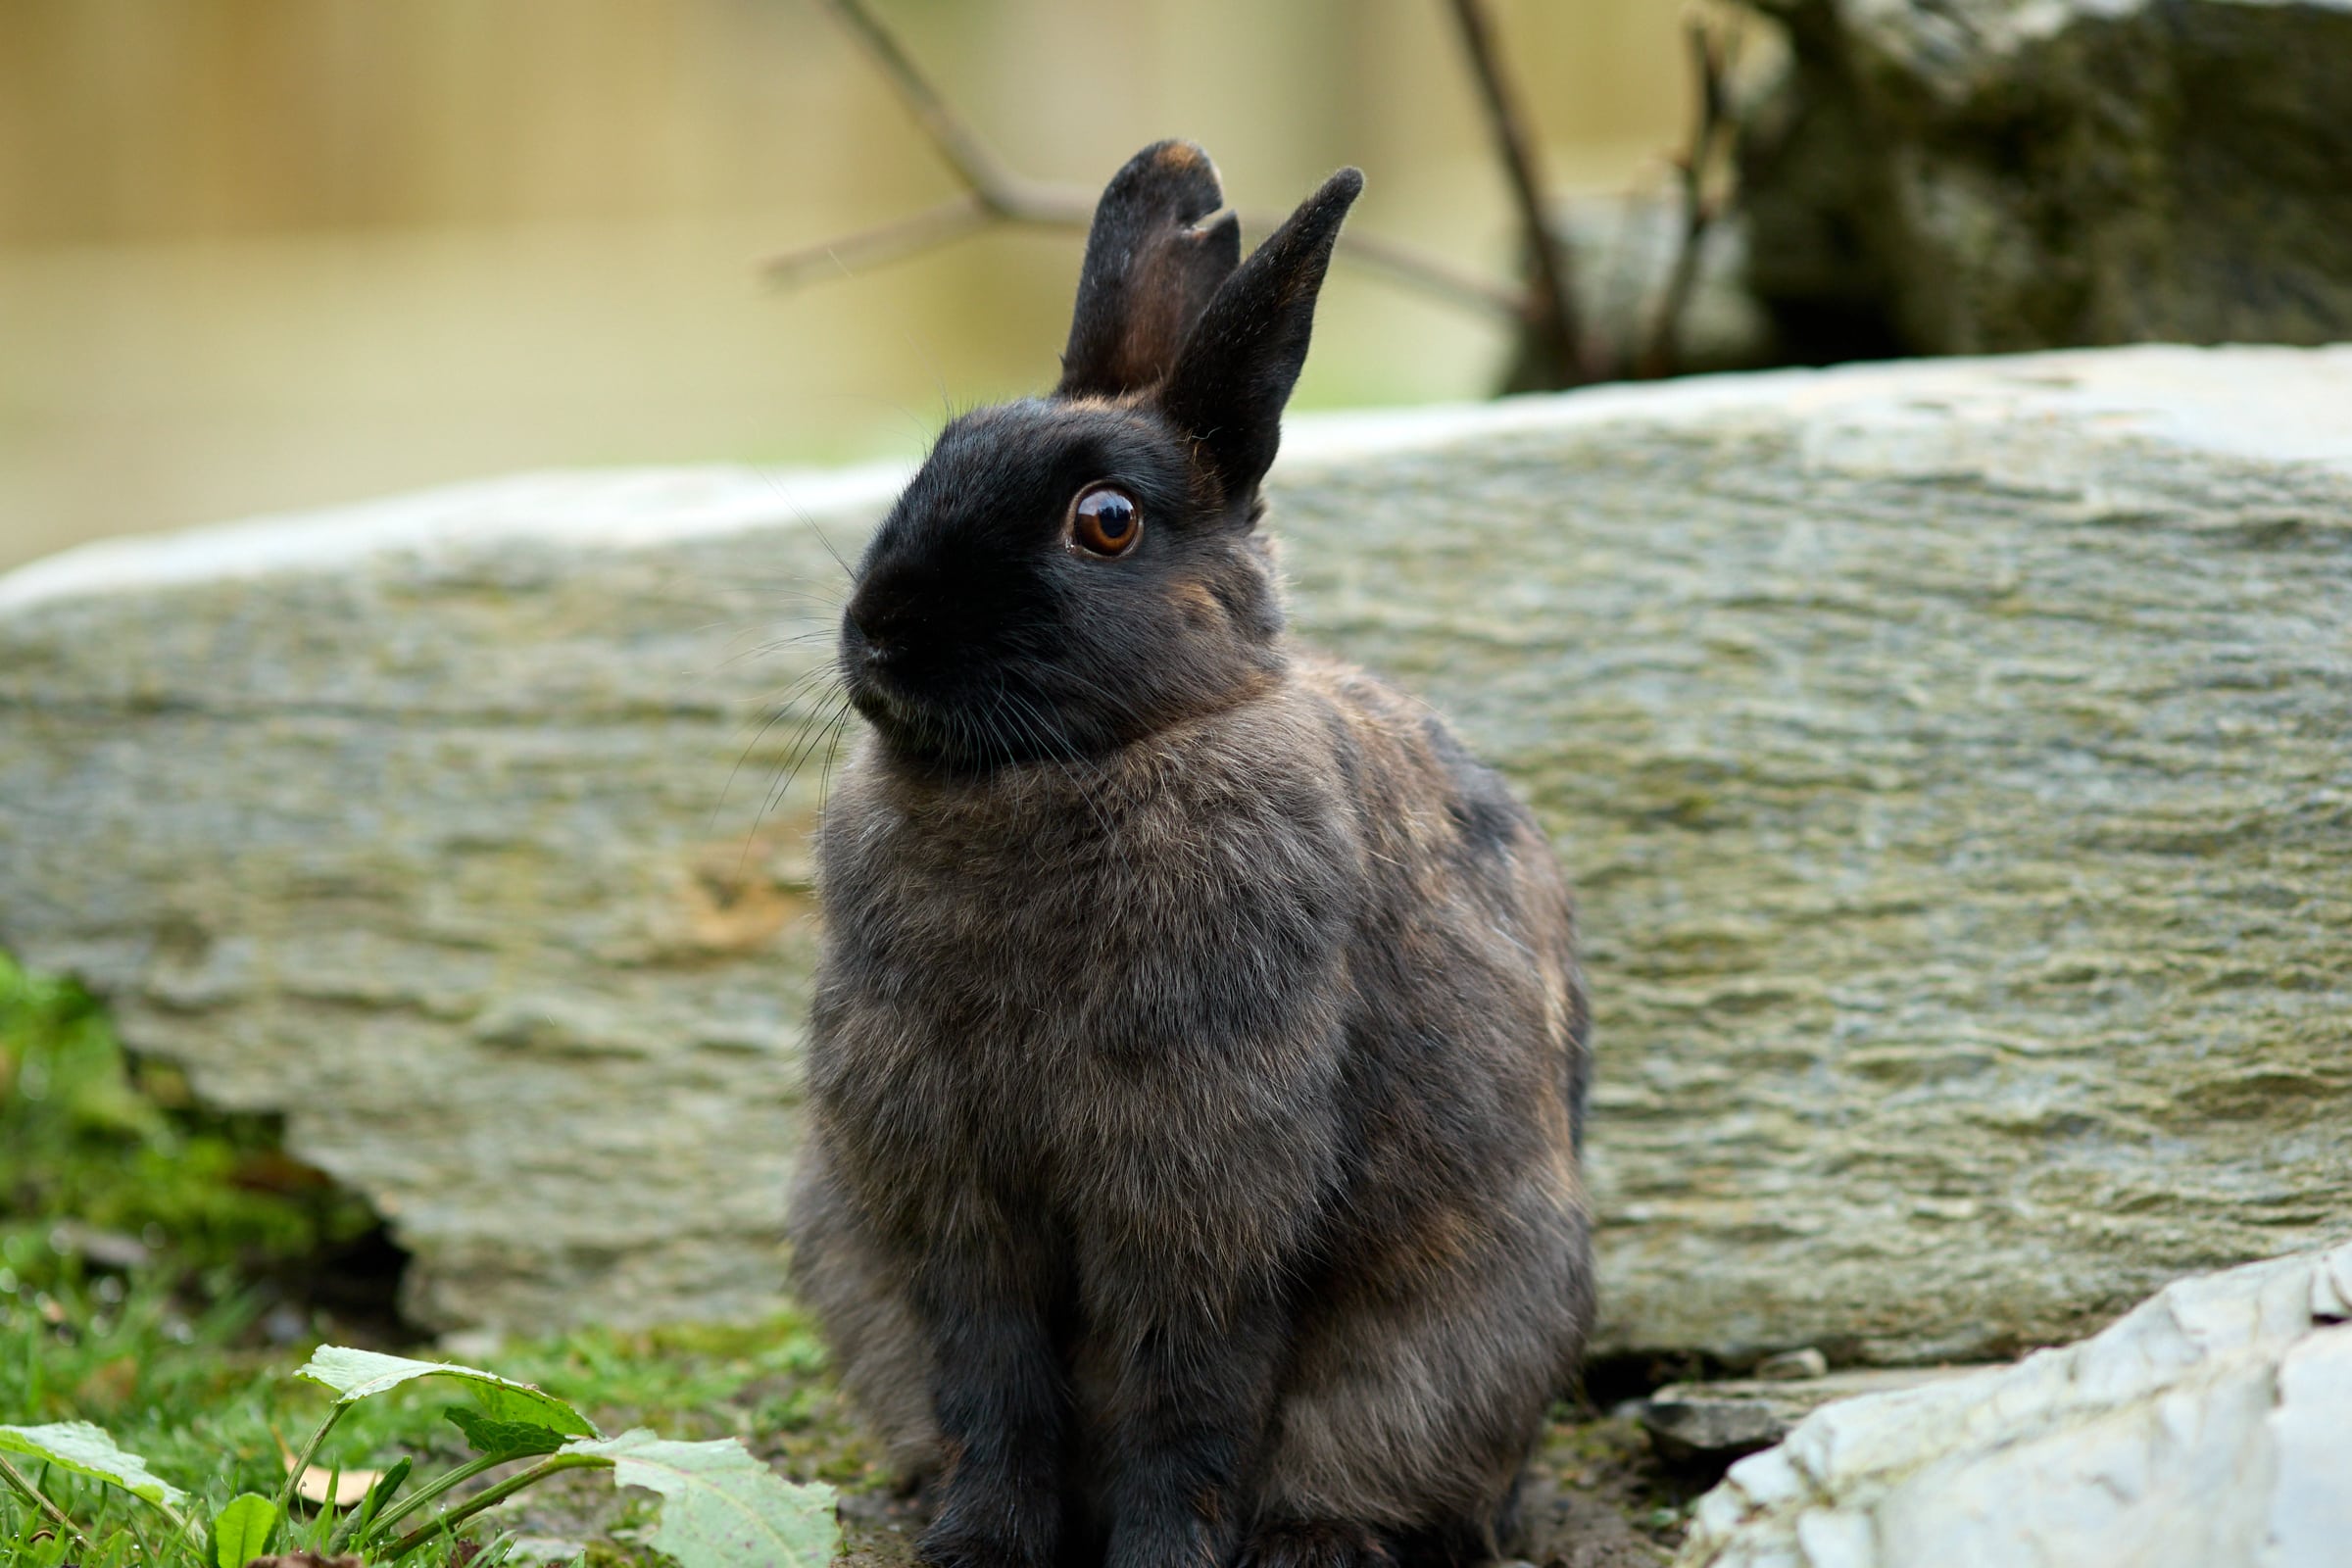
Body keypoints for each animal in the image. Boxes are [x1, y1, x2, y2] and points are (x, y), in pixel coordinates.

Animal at [788, 140, 1593, 1568]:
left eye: (1106, 522)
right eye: (933, 459)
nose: (881, 630)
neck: (1073, 765)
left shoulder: (1204, 1192)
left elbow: (1189, 1395)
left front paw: (1161, 1555)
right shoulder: (951, 1199)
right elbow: (991, 1382)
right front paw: (979, 1547)